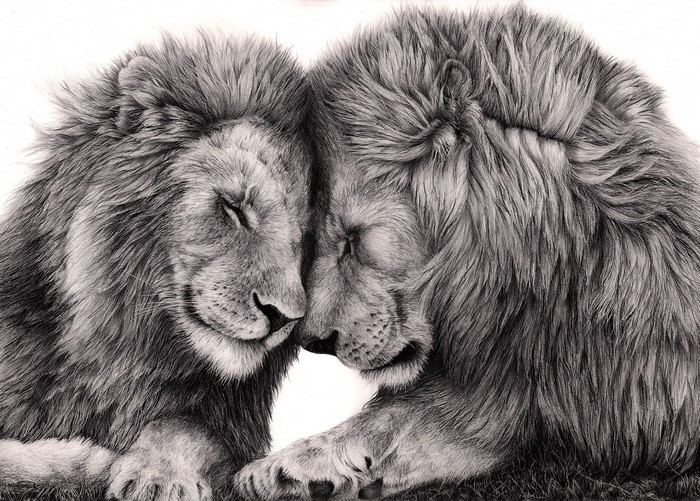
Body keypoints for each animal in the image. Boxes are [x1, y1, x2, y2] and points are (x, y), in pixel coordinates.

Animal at [0, 32, 311, 500]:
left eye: (306, 238)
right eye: (235, 208)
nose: (284, 318)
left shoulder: (226, 425)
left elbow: (184, 428)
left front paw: (159, 477)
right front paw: (86, 461)